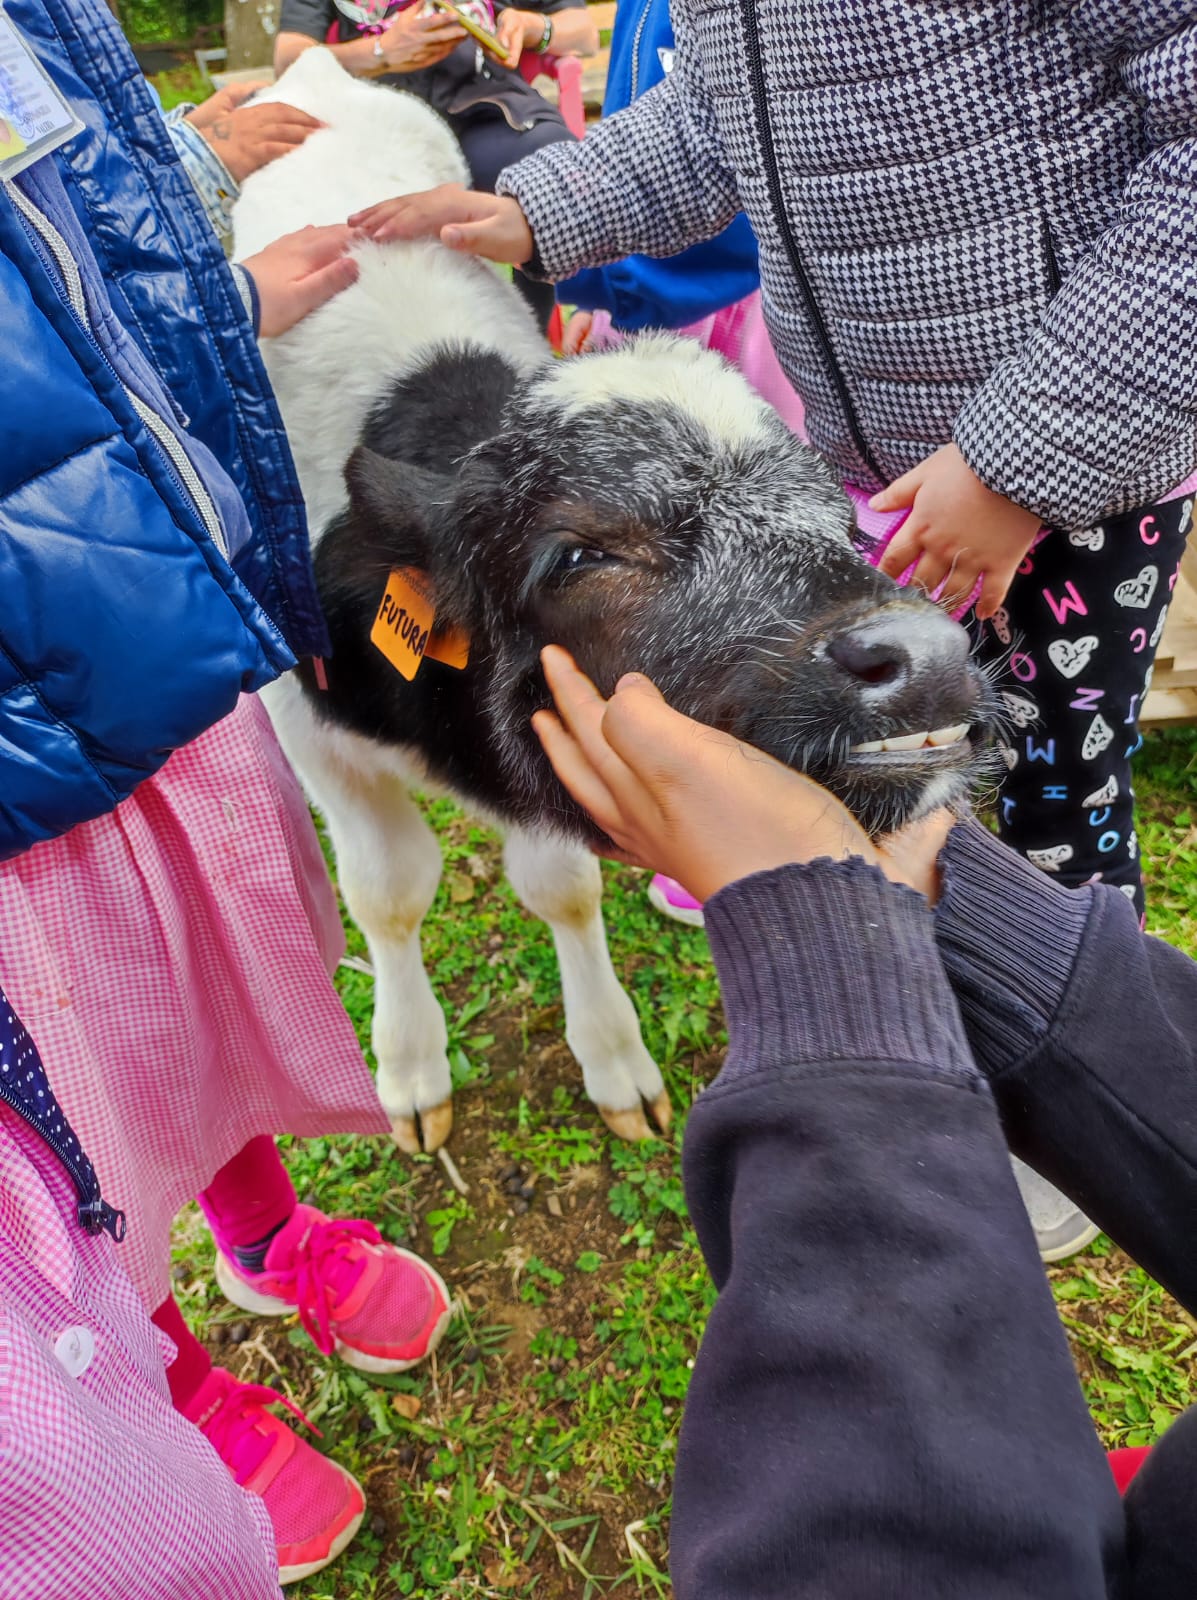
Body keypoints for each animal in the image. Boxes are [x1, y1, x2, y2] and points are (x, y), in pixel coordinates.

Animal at [236, 50, 992, 1152]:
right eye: (583, 552)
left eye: (836, 521)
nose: (927, 656)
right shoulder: (315, 729)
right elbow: (390, 895)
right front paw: (409, 1065)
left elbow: (562, 889)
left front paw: (611, 1055)